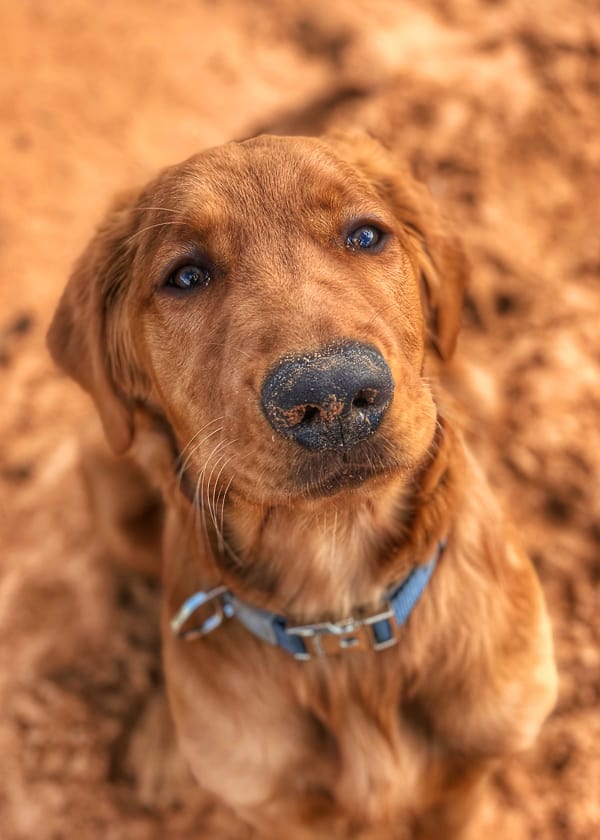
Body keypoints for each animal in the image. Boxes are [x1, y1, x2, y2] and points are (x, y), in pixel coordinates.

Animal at [48, 135, 556, 836]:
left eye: (366, 235)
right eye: (186, 276)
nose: (333, 393)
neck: (342, 618)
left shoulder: (470, 773)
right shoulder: (283, 811)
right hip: (107, 481)